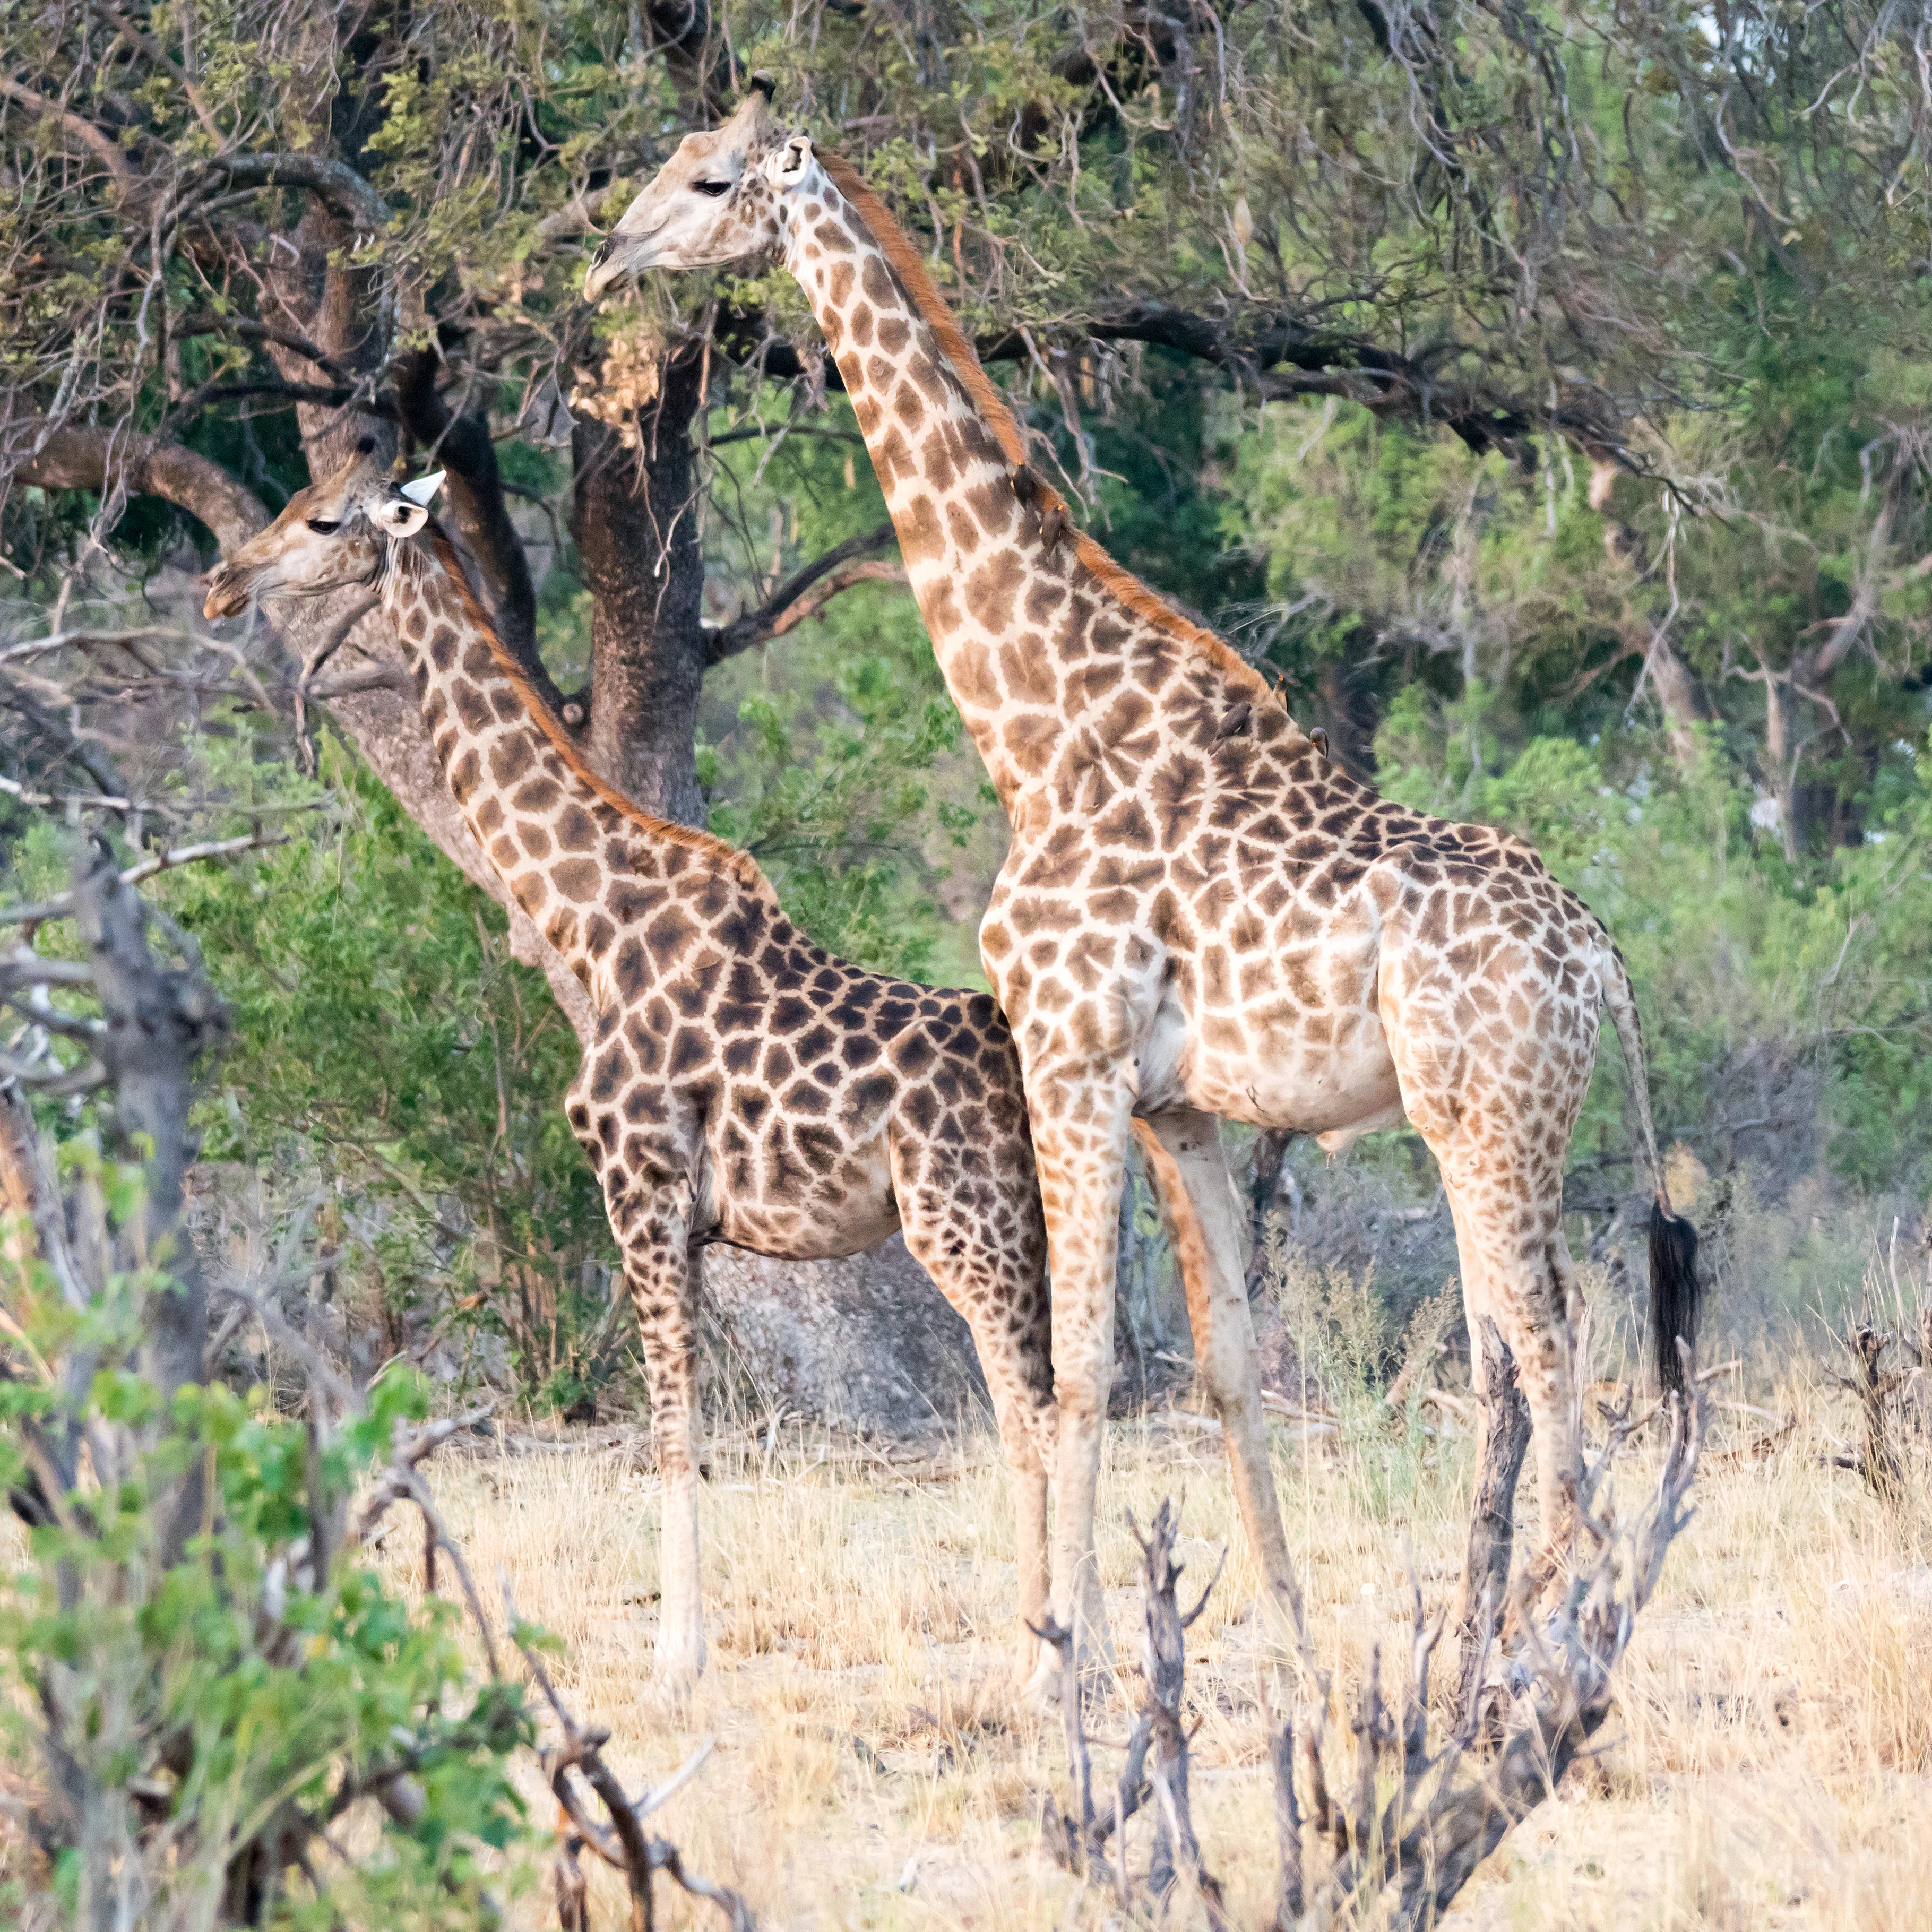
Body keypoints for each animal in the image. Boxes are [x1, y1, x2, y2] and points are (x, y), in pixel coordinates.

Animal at [204, 446, 1061, 1687]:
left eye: (321, 518)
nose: (221, 583)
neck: (592, 923)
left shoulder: (639, 1189)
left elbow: (666, 1433)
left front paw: (675, 1660)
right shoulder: (687, 1222)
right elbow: (687, 1431)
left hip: (964, 1222)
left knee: (1033, 1414)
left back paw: (1049, 1661)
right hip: (1021, 1225)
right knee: (1055, 1401)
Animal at [586, 93, 1704, 1664]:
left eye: (711, 179)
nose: (607, 254)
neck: (1037, 730)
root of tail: (1600, 958)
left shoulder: (1073, 1057)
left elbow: (1076, 1369)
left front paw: (1070, 1646)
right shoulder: (1178, 1103)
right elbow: (1223, 1362)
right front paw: (1286, 1634)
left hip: (1489, 1119)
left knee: (1551, 1349)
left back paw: (1537, 1634)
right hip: (1495, 1121)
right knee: (1520, 1351)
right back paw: (1500, 1617)